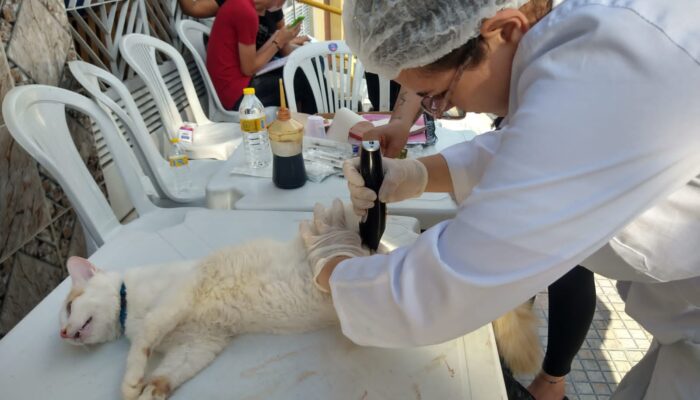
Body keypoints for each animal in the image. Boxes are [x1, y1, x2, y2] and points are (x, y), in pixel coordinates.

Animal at [60, 203, 540, 400]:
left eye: (66, 306)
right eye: (63, 318)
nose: (64, 333)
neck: (130, 302)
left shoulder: (178, 295)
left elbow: (143, 342)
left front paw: (130, 382)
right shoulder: (203, 342)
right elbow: (171, 372)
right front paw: (152, 390)